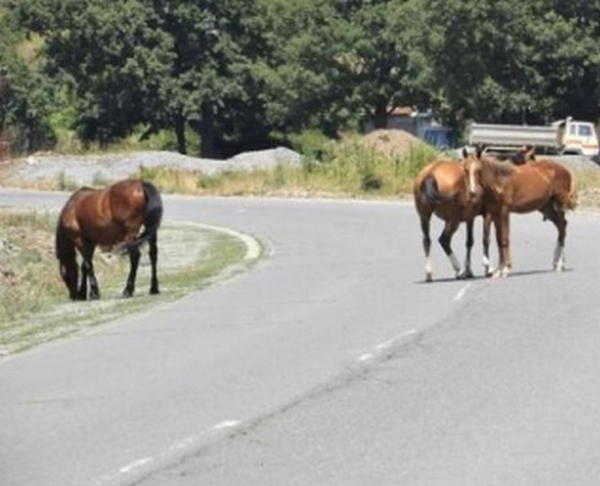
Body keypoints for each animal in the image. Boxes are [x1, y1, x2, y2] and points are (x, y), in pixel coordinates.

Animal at [464, 148, 576, 278]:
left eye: (479, 169)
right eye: (465, 169)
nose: (472, 192)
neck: (499, 181)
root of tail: (566, 171)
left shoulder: (504, 212)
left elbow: (504, 238)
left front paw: (506, 268)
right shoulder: (495, 213)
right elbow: (498, 239)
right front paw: (499, 269)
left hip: (559, 204)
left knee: (562, 227)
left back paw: (559, 263)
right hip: (546, 207)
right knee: (561, 225)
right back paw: (557, 262)